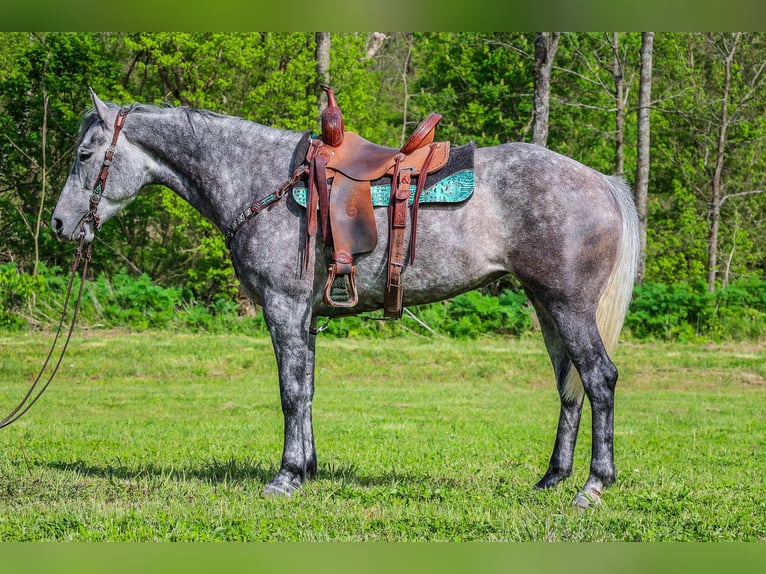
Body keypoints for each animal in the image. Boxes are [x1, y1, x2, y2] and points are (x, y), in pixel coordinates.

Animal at [52, 92, 640, 510]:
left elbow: (291, 392)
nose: (59, 224)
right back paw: (552, 478)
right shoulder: (306, 316)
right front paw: (308, 469)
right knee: (569, 388)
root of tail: (601, 181)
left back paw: (593, 485)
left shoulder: (284, 308)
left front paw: (286, 477)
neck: (258, 181)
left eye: (85, 154)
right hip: (547, 307)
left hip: (569, 307)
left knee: (599, 379)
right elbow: (308, 390)